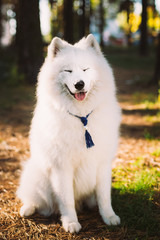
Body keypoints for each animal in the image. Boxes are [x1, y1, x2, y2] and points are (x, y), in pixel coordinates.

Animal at [16, 33, 120, 232]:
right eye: (68, 71)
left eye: (85, 69)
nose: (79, 84)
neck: (81, 119)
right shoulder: (61, 167)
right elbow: (66, 200)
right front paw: (71, 222)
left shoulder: (102, 163)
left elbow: (104, 196)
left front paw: (109, 217)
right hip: (36, 177)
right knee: (32, 198)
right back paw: (27, 209)